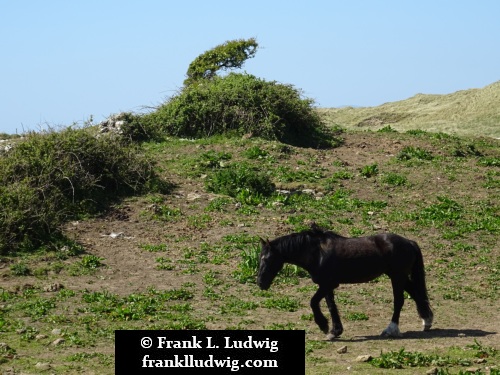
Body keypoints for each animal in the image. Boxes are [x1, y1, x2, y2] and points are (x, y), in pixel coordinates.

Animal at [256, 225, 432, 340]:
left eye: (266, 258)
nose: (260, 283)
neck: (318, 253)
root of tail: (409, 242)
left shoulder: (327, 284)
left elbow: (313, 302)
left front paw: (324, 326)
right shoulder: (326, 285)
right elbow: (331, 306)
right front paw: (335, 331)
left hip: (397, 277)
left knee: (399, 301)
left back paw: (391, 329)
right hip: (399, 276)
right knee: (417, 295)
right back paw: (427, 321)